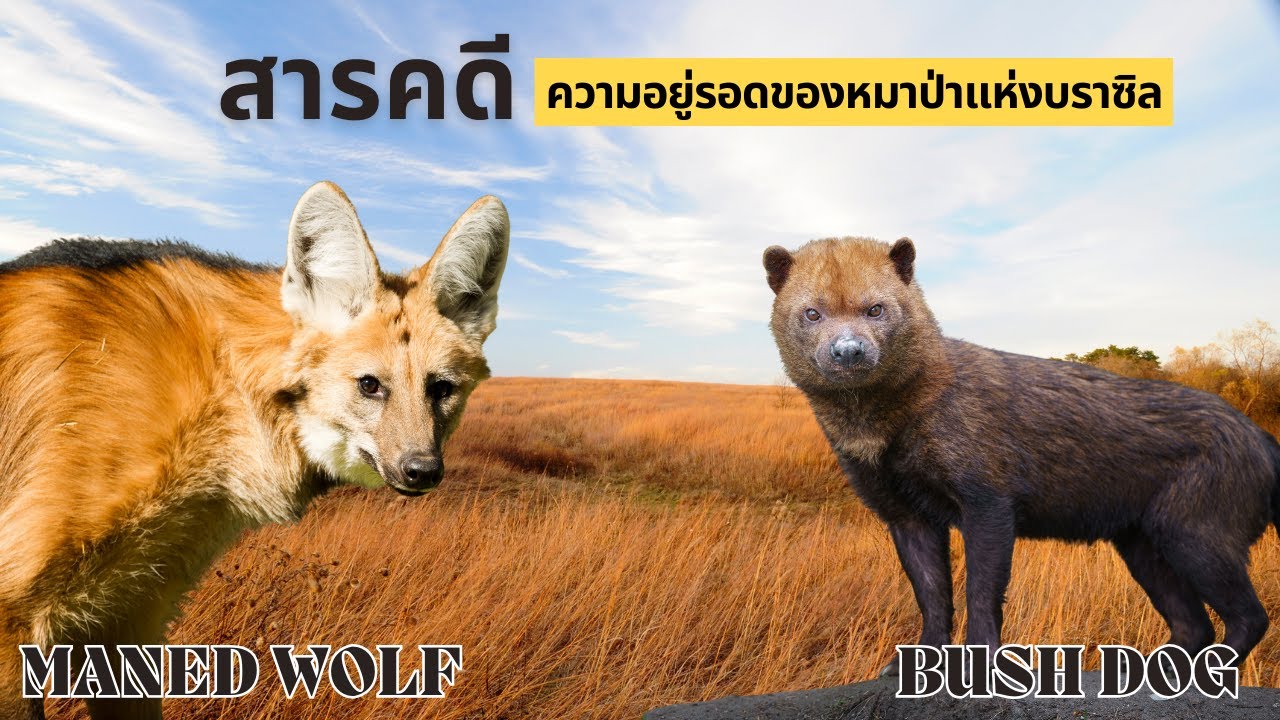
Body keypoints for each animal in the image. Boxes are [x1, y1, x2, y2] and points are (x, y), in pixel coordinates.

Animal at [0, 181, 509, 719]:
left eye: (441, 389)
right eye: (370, 385)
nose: (422, 470)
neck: (226, 392)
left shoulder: (127, 617)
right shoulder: (17, 611)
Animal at [764, 236, 1280, 674]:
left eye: (875, 309)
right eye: (812, 313)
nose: (848, 351)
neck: (885, 426)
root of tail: (1260, 436)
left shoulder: (988, 505)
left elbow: (981, 593)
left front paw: (978, 667)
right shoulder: (906, 516)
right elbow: (932, 597)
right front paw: (912, 666)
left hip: (1196, 537)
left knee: (1250, 617)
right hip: (1143, 546)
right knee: (1195, 626)